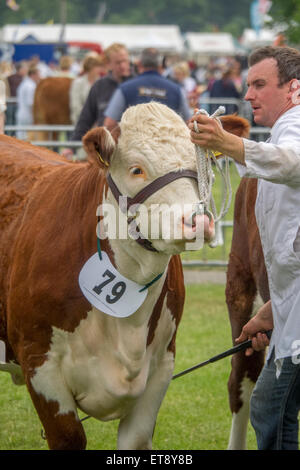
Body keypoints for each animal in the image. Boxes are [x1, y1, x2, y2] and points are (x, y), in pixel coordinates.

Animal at [0, 103, 248, 452]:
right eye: (136, 170)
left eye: (202, 165)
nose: (197, 221)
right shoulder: (39, 362)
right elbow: (68, 438)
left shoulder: (160, 366)